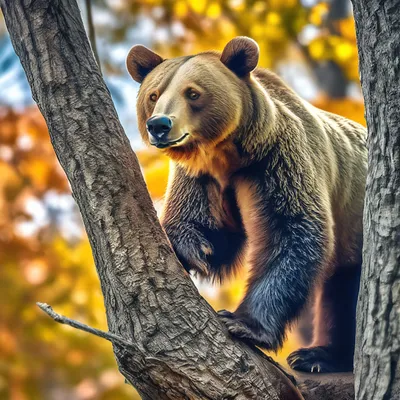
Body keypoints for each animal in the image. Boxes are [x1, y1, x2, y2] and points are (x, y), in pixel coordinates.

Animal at [126, 36, 368, 374]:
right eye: (154, 94)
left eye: (193, 92)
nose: (159, 125)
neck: (228, 156)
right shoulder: (201, 178)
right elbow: (205, 227)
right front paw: (195, 250)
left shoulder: (277, 161)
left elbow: (291, 232)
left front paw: (242, 323)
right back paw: (321, 356)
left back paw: (314, 356)